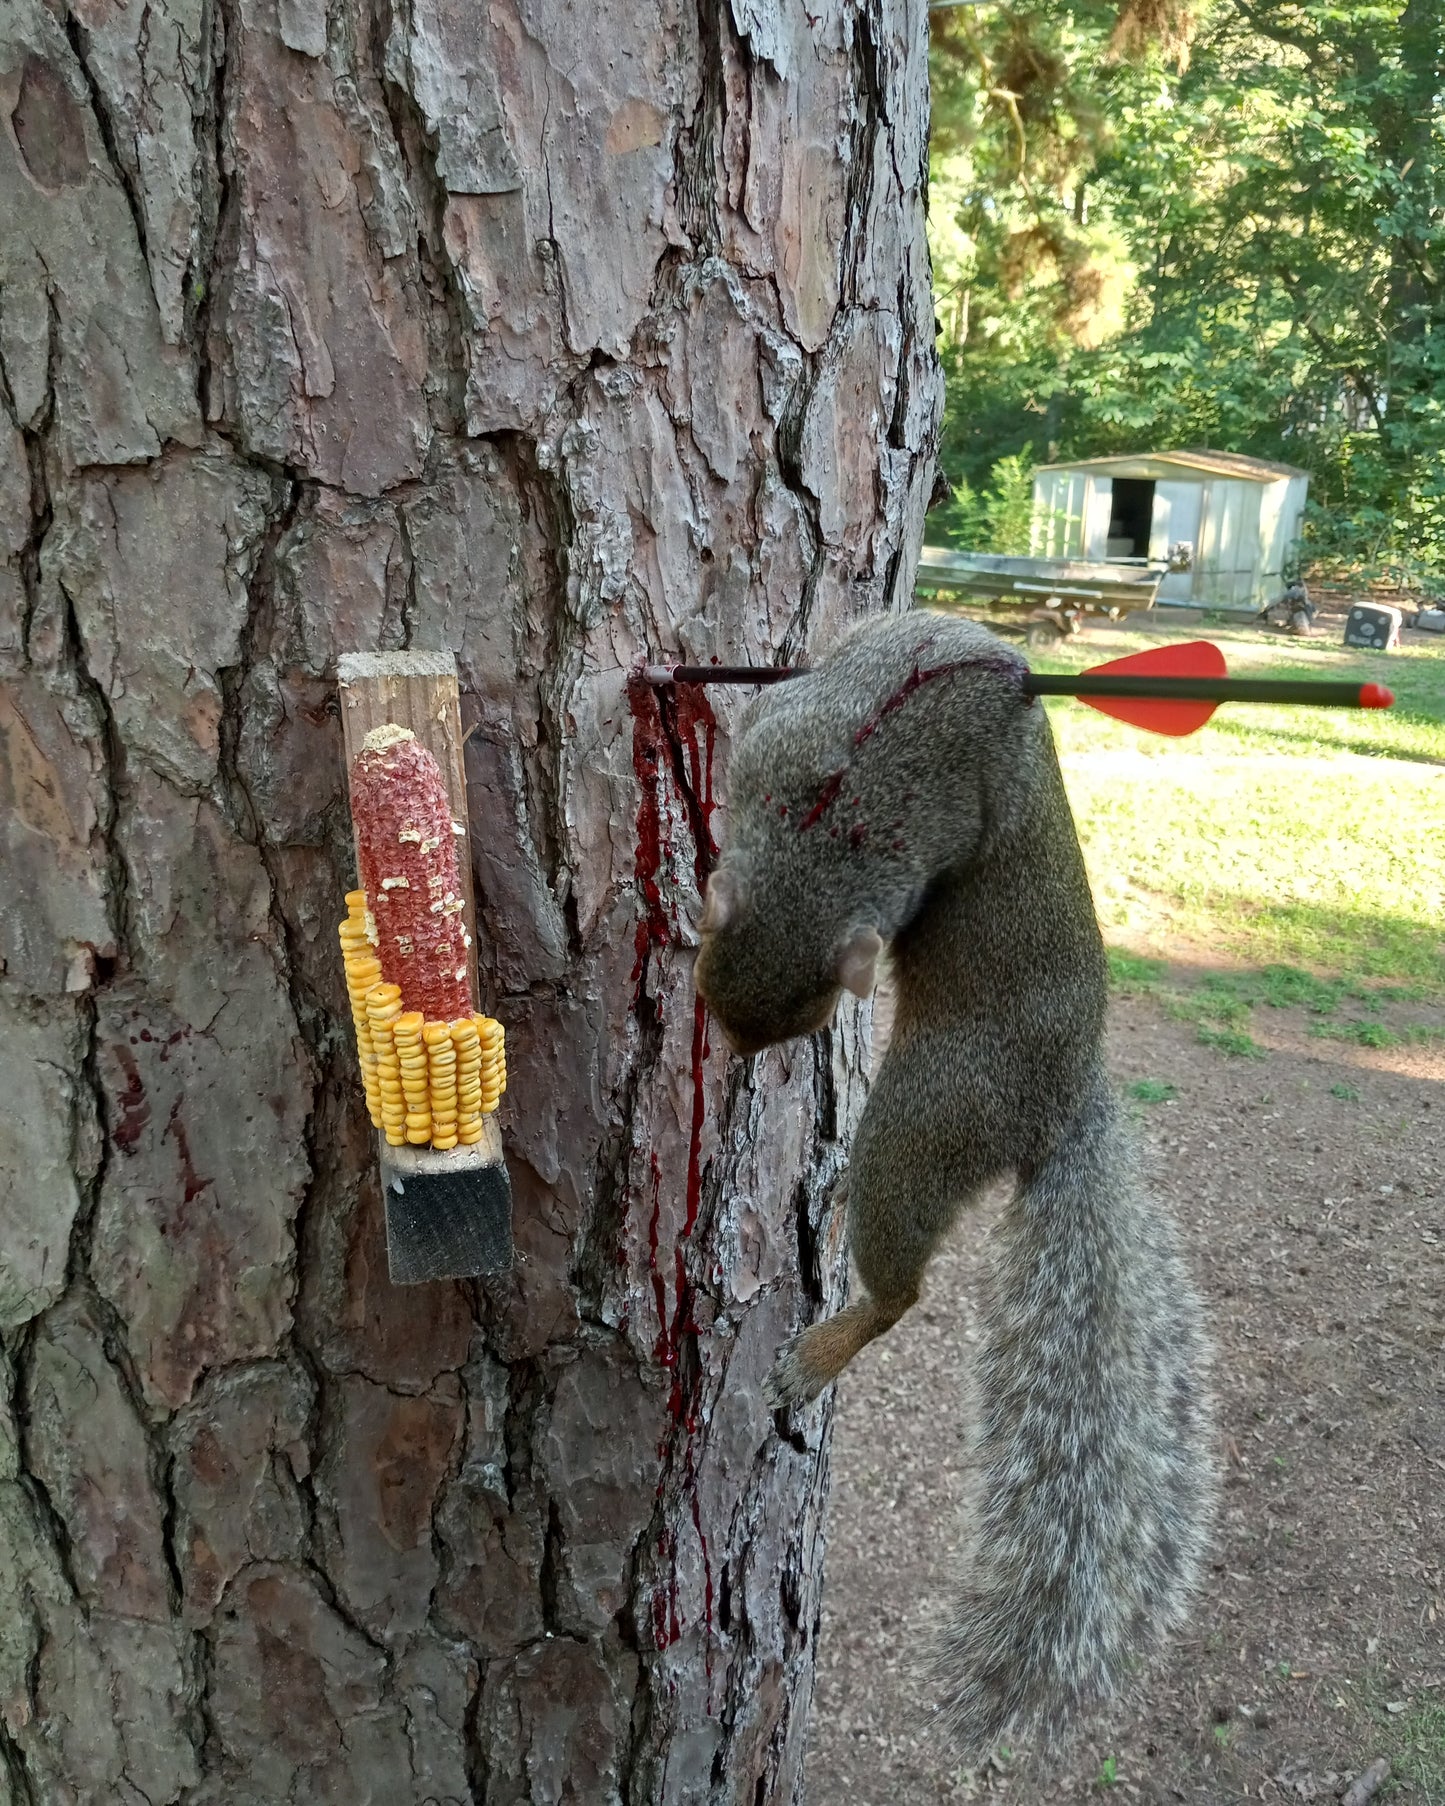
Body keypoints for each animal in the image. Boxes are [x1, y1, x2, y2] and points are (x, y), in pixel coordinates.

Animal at [693, 614, 1213, 1755]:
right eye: (716, 991)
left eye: (795, 1019)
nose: (737, 1058)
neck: (827, 824)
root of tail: (1060, 1104)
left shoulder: (786, 733)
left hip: (927, 1120)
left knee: (903, 1288)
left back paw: (822, 1349)